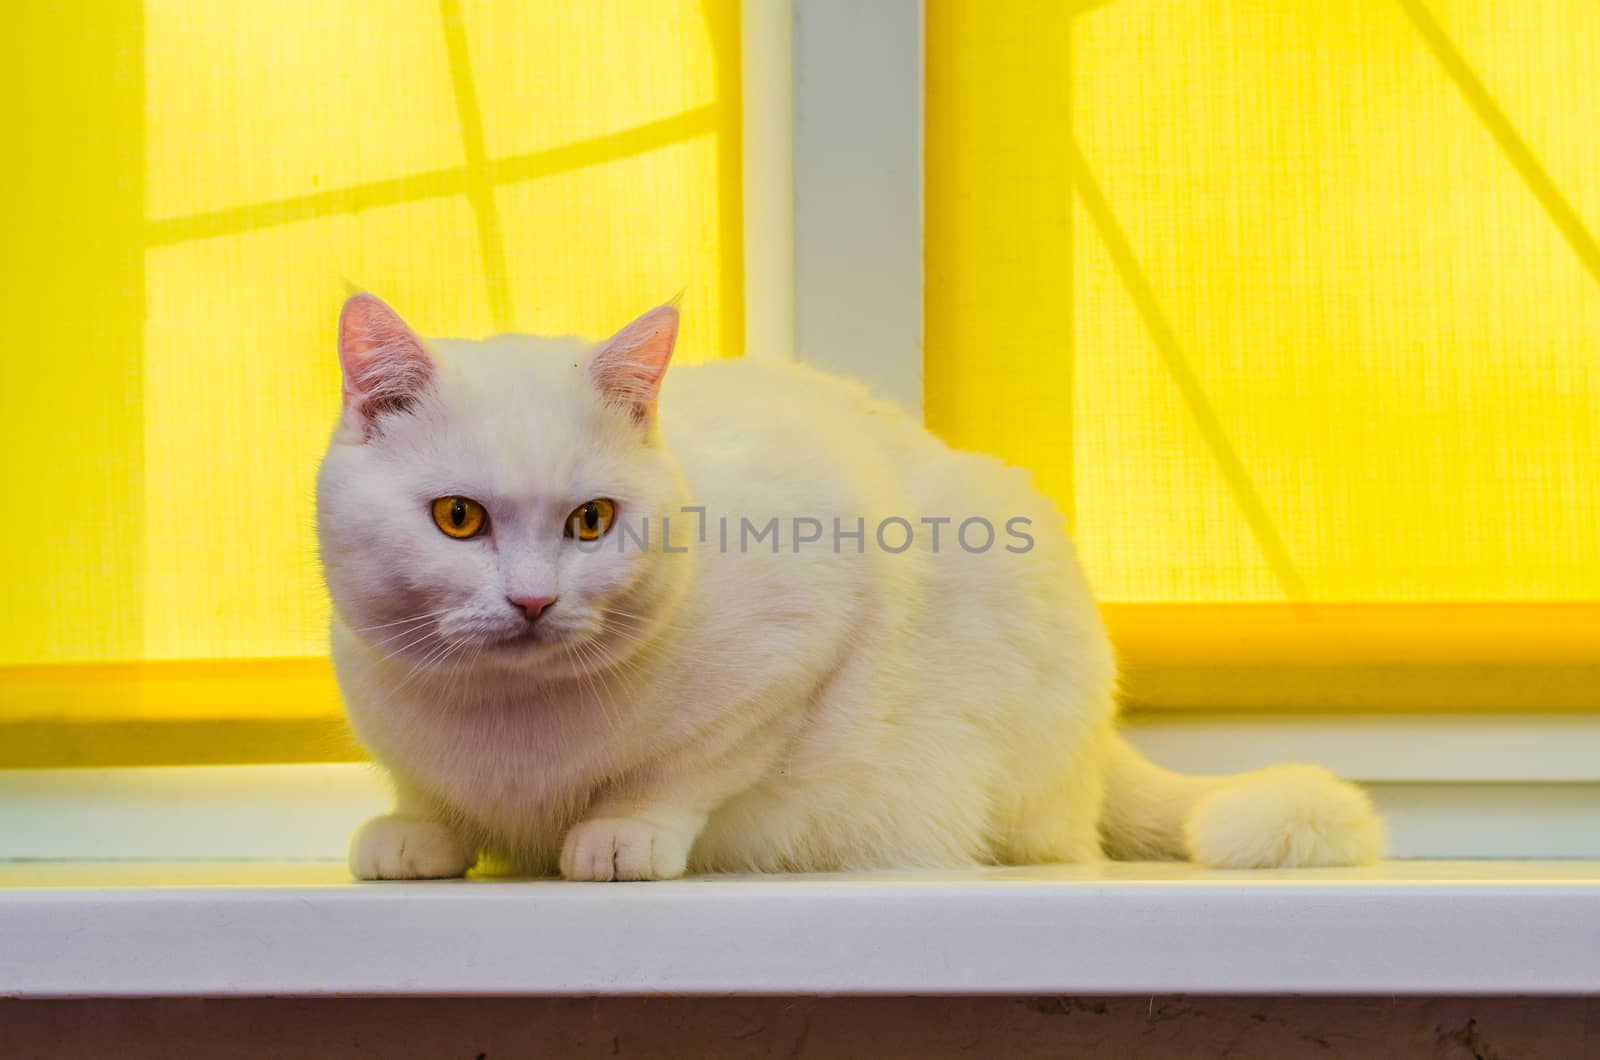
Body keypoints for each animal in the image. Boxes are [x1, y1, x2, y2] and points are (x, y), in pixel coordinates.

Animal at [318, 294, 1382, 883]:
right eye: (459, 518)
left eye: (592, 521)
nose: (535, 601)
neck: (510, 734)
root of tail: (1098, 744)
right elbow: (426, 793)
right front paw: (419, 834)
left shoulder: (797, 645)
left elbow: (684, 772)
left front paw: (619, 835)